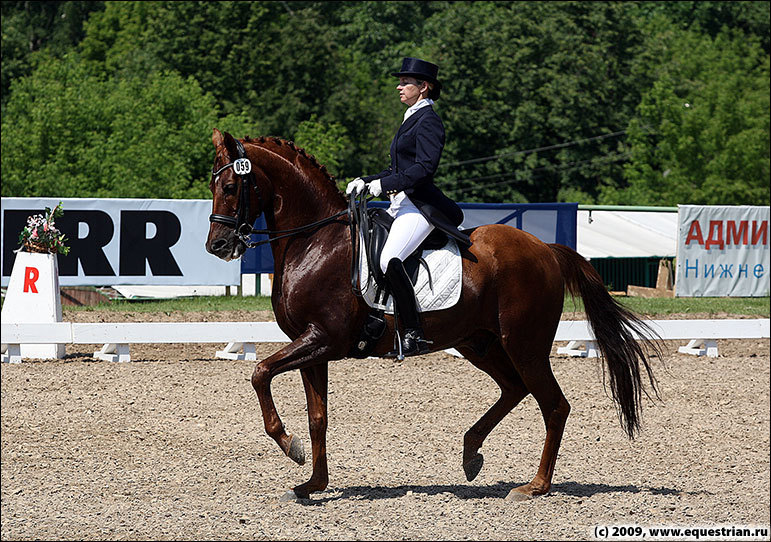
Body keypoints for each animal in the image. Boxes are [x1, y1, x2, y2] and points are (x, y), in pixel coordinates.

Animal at [207, 130, 664, 504]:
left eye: (230, 186)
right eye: (213, 185)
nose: (218, 246)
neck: (313, 241)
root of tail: (546, 249)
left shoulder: (323, 339)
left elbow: (260, 373)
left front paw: (289, 445)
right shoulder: (312, 346)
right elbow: (317, 416)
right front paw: (311, 483)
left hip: (525, 344)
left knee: (553, 405)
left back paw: (534, 486)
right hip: (478, 342)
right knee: (514, 388)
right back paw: (471, 452)